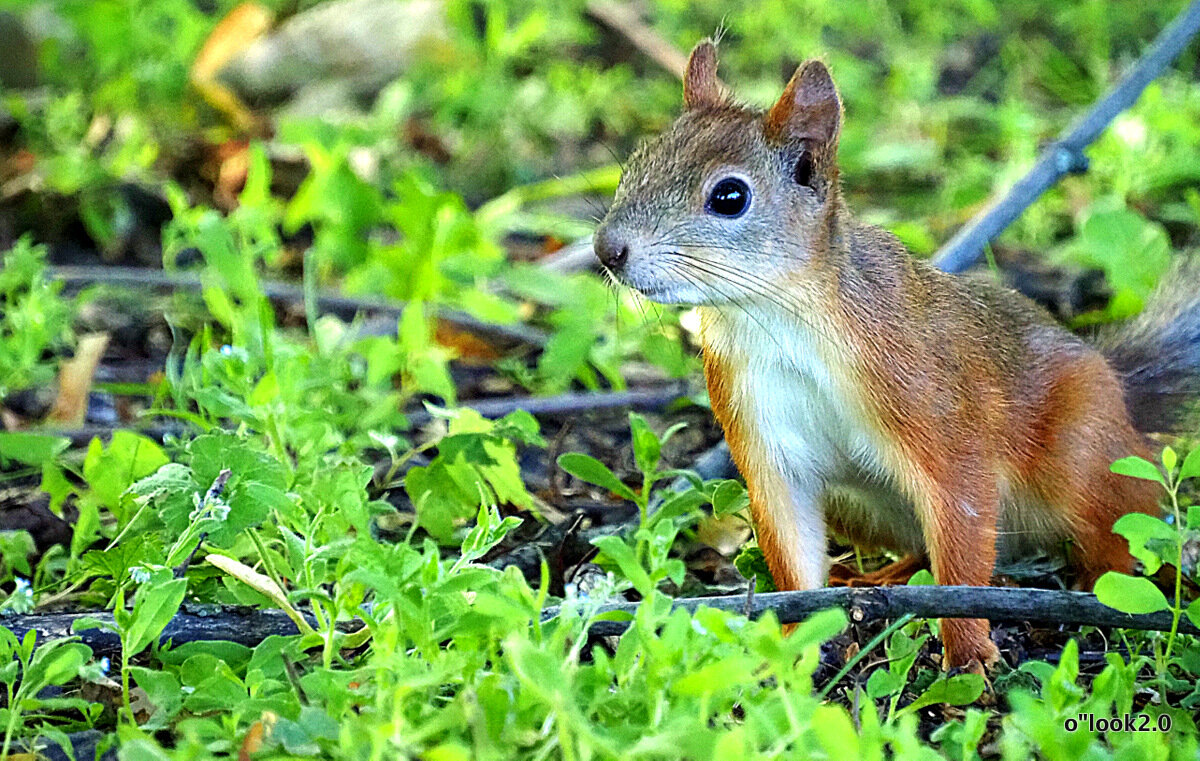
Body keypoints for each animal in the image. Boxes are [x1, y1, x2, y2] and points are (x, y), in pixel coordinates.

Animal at [592, 39, 1200, 667]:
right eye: (634, 165)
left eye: (730, 197)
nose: (607, 250)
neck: (777, 319)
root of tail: (1123, 402)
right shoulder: (763, 435)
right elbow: (792, 547)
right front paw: (792, 641)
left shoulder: (930, 401)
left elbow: (961, 523)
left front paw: (967, 652)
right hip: (859, 505)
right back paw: (881, 580)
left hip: (1079, 453)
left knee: (1122, 519)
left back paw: (1098, 584)